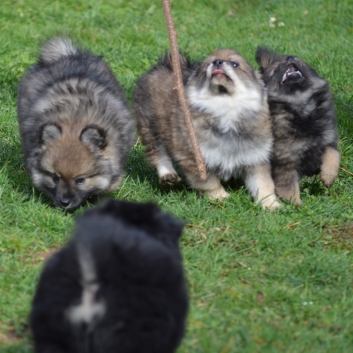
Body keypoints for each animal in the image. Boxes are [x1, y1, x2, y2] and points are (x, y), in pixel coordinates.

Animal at [133, 49, 280, 209]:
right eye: (209, 63)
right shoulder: (195, 159)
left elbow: (263, 184)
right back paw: (168, 175)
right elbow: (209, 183)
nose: (217, 62)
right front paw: (221, 197)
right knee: (158, 153)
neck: (225, 107)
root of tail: (164, 66)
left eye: (235, 64)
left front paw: (271, 204)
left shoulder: (256, 157)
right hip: (150, 128)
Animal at [254, 46, 340, 204]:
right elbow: (289, 187)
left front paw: (328, 177)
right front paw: (296, 204)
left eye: (302, 61)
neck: (301, 109)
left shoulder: (328, 141)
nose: (290, 57)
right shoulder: (287, 162)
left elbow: (333, 156)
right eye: (276, 69)